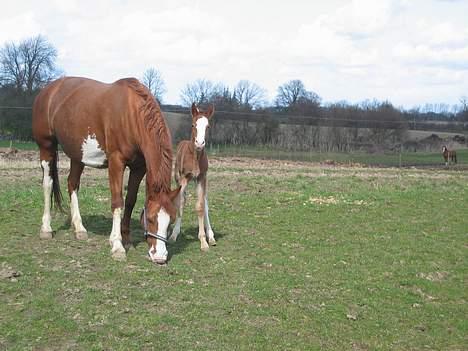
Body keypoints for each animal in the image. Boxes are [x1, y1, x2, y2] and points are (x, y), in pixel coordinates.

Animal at [31, 77, 181, 264]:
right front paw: (117, 246)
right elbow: (117, 202)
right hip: (46, 147)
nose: (160, 257)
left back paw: (79, 228)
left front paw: (126, 239)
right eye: (151, 219)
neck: (131, 113)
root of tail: (48, 90)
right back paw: (46, 228)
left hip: (77, 155)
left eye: (171, 220)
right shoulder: (116, 162)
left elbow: (130, 201)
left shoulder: (139, 168)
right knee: (48, 184)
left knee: (72, 184)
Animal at [169, 103, 217, 252]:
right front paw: (173, 235)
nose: (200, 143)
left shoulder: (202, 178)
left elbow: (201, 206)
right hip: (178, 178)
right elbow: (180, 202)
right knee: (182, 199)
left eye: (208, 126)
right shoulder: (184, 178)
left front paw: (204, 241)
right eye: (193, 125)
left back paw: (211, 236)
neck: (195, 157)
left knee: (205, 203)